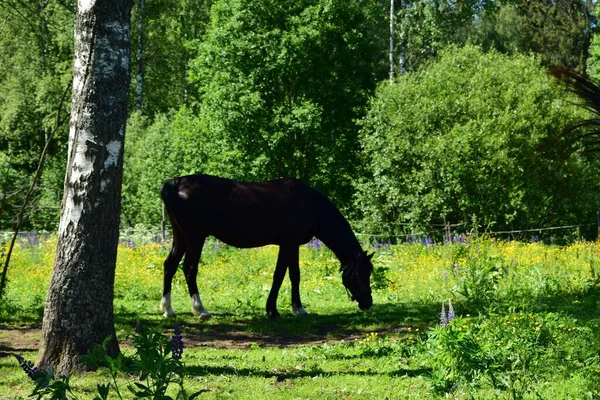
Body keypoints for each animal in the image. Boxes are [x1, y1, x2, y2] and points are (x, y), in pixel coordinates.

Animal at [159, 173, 376, 320]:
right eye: (358, 274)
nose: (368, 302)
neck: (310, 204)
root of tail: (174, 184)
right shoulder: (288, 244)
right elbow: (280, 275)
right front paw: (274, 310)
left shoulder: (292, 245)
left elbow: (294, 275)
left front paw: (297, 308)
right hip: (195, 237)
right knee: (189, 268)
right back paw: (200, 310)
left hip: (180, 237)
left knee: (170, 265)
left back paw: (168, 309)